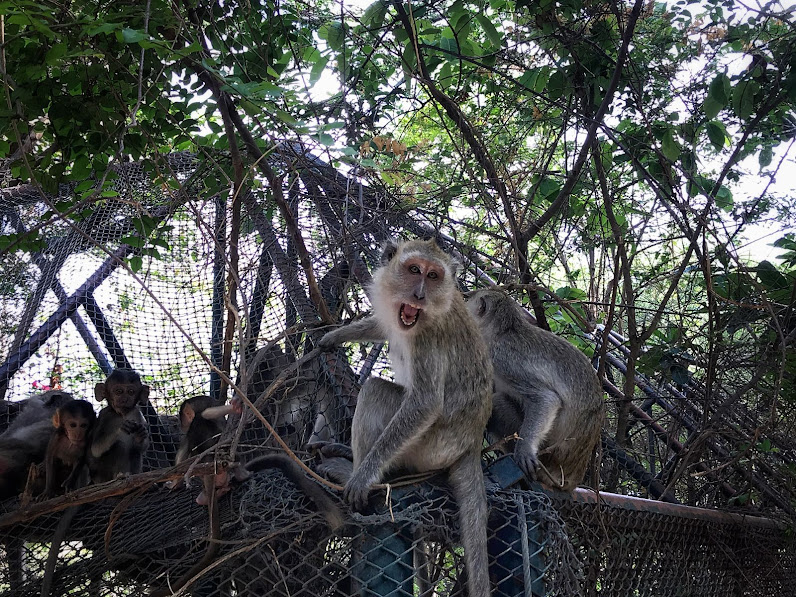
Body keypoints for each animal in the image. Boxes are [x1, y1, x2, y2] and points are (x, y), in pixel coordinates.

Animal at [466, 288, 604, 488]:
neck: (503, 332)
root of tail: (572, 478)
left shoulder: (503, 358)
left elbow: (546, 399)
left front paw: (524, 450)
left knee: (498, 402)